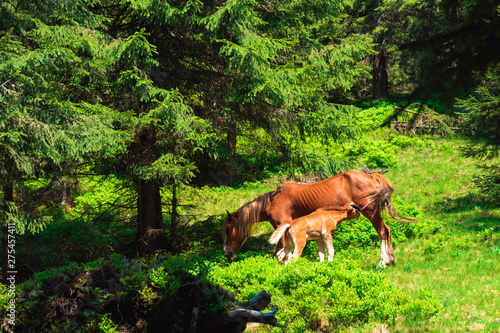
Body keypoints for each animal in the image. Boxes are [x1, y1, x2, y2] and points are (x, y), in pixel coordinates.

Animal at [224, 170, 418, 266]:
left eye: (228, 230)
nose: (227, 253)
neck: (273, 199)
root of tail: (370, 176)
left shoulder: (281, 224)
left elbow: (282, 253)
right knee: (387, 232)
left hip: (370, 212)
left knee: (383, 232)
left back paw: (383, 262)